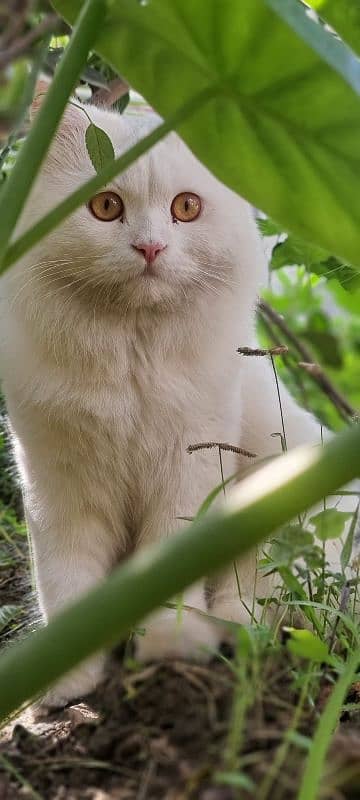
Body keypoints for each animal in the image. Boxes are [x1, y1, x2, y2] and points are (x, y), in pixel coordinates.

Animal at [0, 84, 348, 704]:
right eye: (105, 207)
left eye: (185, 208)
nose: (150, 248)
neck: (131, 360)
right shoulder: (58, 484)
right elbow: (66, 582)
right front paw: (65, 679)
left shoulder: (186, 466)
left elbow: (165, 566)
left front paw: (168, 642)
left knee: (260, 601)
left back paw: (222, 633)